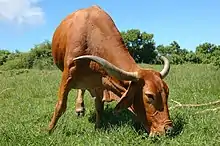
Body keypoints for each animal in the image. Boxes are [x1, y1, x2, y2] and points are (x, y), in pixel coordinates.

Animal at [49, 4, 174, 137]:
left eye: (167, 93)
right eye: (150, 96)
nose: (169, 129)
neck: (91, 37)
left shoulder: (99, 82)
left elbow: (99, 106)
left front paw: (98, 127)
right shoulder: (68, 74)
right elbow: (60, 106)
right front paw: (49, 130)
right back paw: (79, 108)